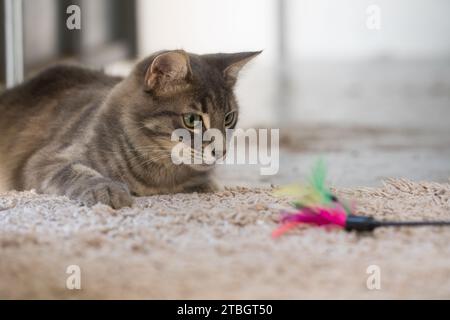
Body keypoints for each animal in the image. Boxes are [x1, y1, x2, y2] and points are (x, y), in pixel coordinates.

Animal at [0, 49, 260, 210]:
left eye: (229, 118)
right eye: (192, 119)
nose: (222, 151)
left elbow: (209, 181)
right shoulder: (44, 160)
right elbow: (75, 171)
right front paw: (106, 189)